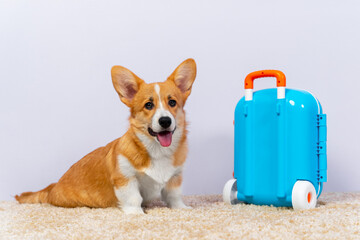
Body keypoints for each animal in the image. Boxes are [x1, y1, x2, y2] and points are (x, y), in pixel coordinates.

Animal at [16, 58, 197, 214]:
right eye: (148, 105)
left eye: (172, 102)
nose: (165, 121)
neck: (158, 150)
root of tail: (52, 187)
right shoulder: (125, 178)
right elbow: (133, 198)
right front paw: (136, 214)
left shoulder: (175, 177)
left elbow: (174, 196)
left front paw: (182, 209)